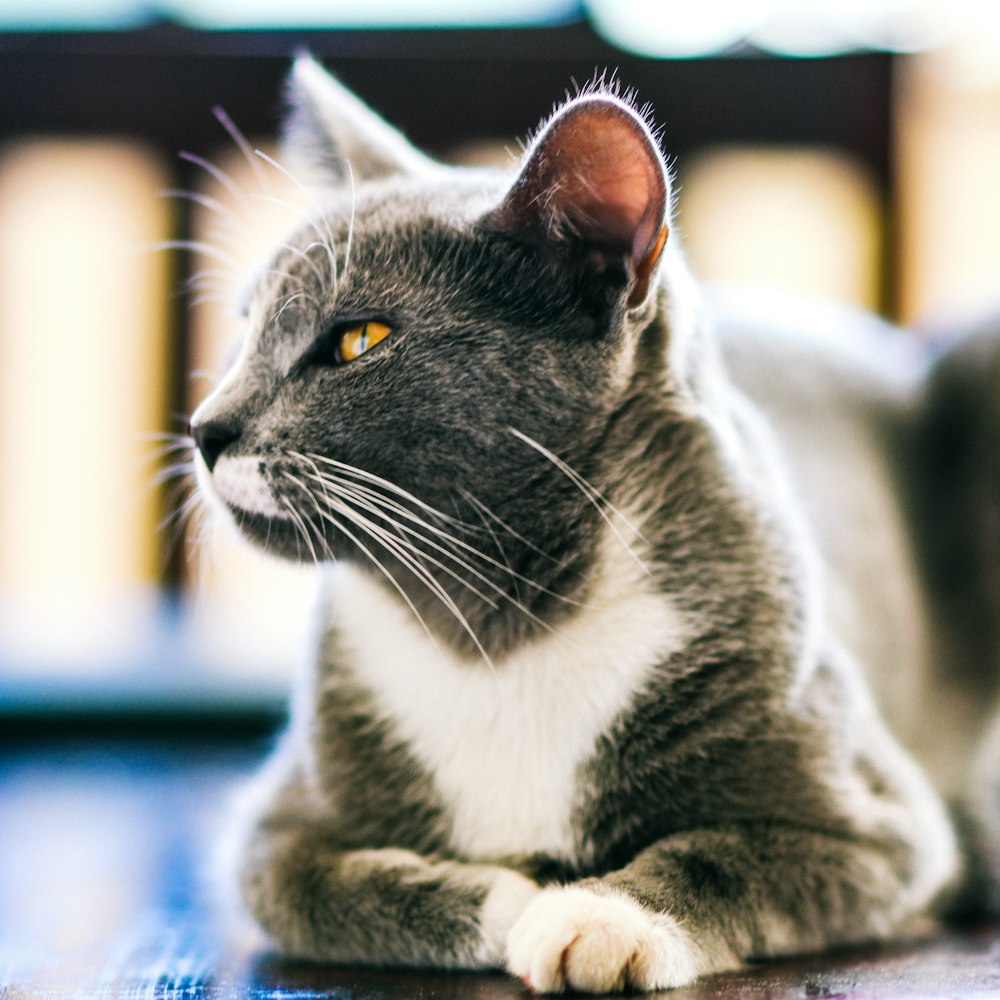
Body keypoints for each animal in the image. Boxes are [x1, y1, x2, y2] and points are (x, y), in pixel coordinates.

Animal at [188, 60, 992, 992]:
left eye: (359, 339)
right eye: (245, 330)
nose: (205, 428)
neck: (497, 629)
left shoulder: (881, 823)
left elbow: (724, 854)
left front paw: (604, 916)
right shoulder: (274, 825)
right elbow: (311, 887)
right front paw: (507, 899)